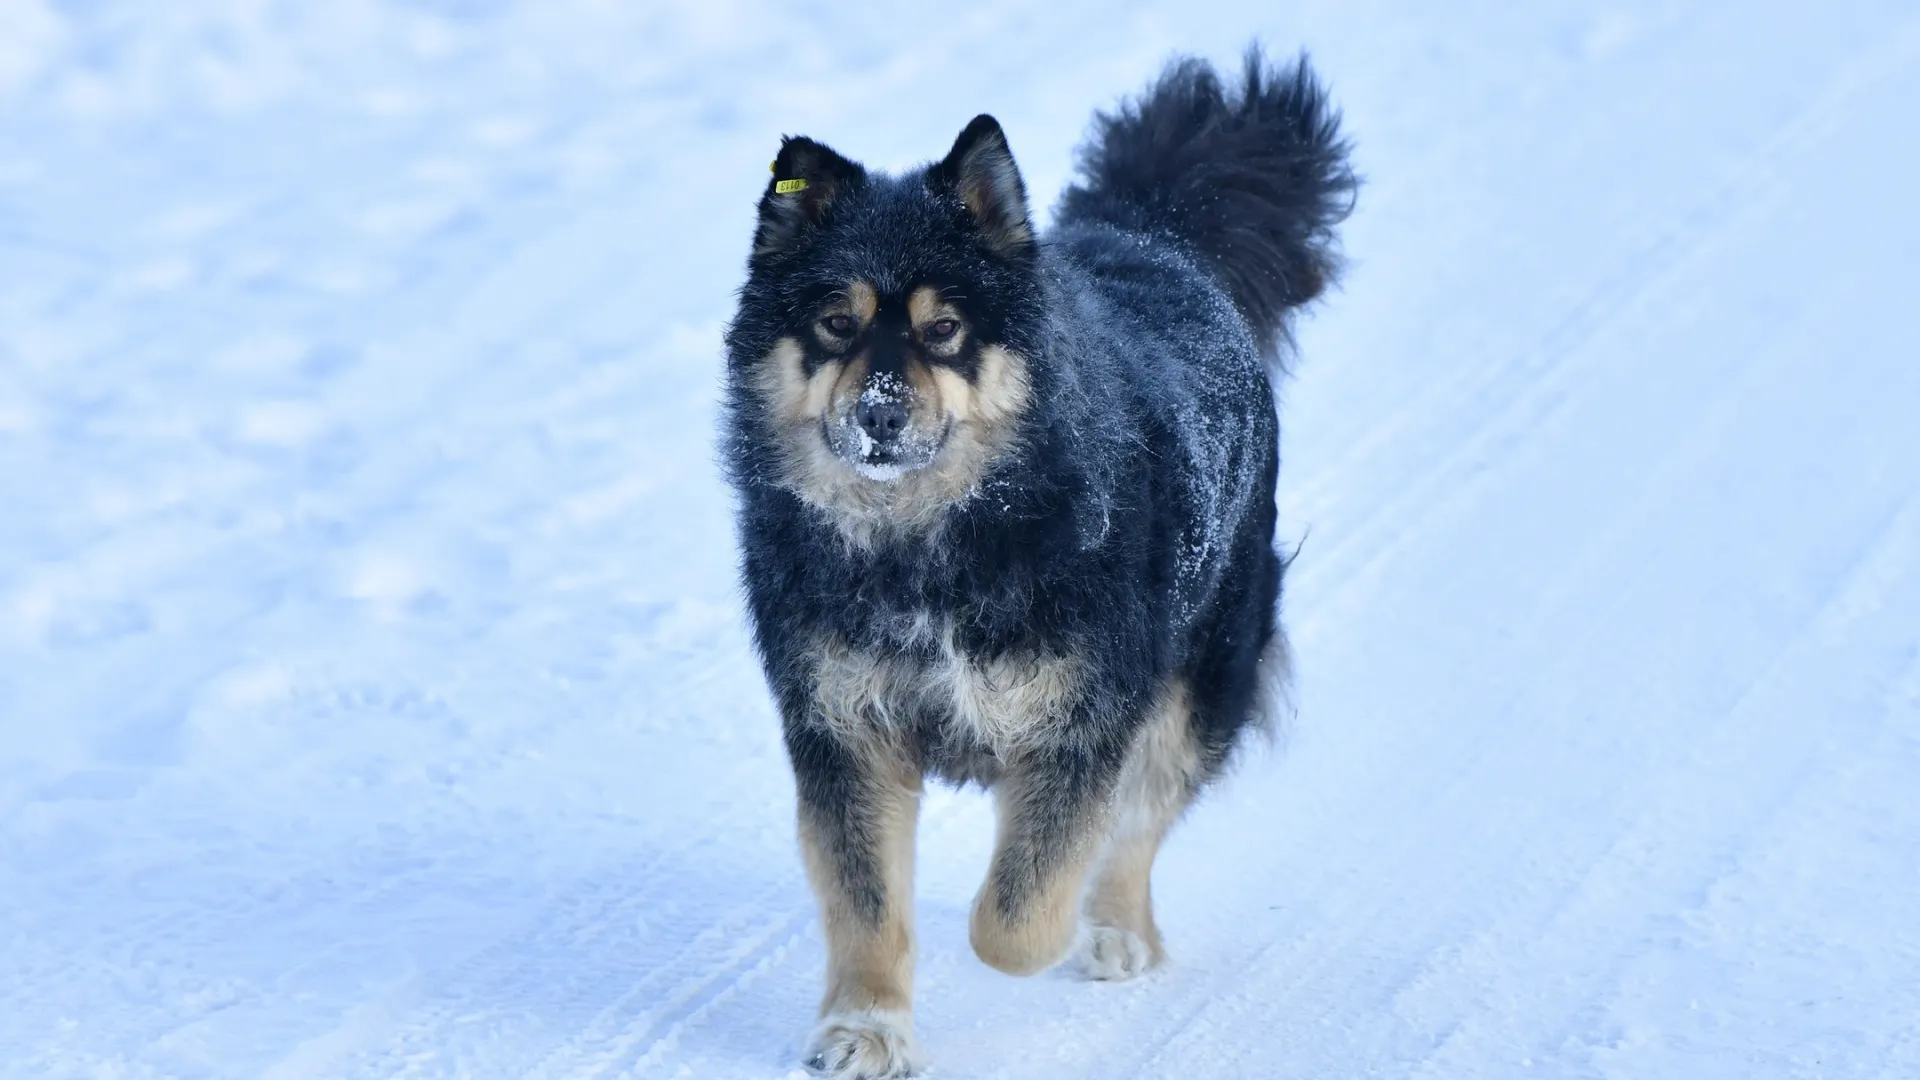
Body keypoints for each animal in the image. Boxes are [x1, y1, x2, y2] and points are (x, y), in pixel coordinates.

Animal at [721, 46, 1367, 1068]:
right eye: (835, 324)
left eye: (944, 328)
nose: (879, 413)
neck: (926, 546)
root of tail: (1158, 234)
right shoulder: (846, 730)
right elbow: (869, 907)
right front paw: (867, 1027)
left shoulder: (1078, 723)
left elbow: (1019, 914)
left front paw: (1043, 936)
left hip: (1203, 677)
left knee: (1139, 818)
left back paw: (1115, 931)